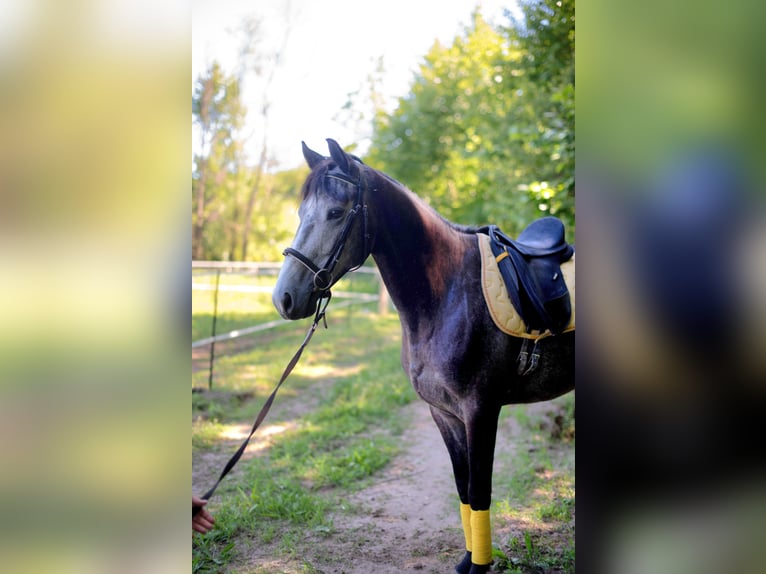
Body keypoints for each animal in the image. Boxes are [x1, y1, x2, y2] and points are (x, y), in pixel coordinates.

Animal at [272, 140, 572, 574]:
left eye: (336, 212)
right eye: (301, 213)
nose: (284, 298)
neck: (447, 293)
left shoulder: (481, 410)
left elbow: (480, 490)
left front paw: (480, 566)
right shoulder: (443, 413)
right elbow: (463, 489)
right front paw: (468, 561)